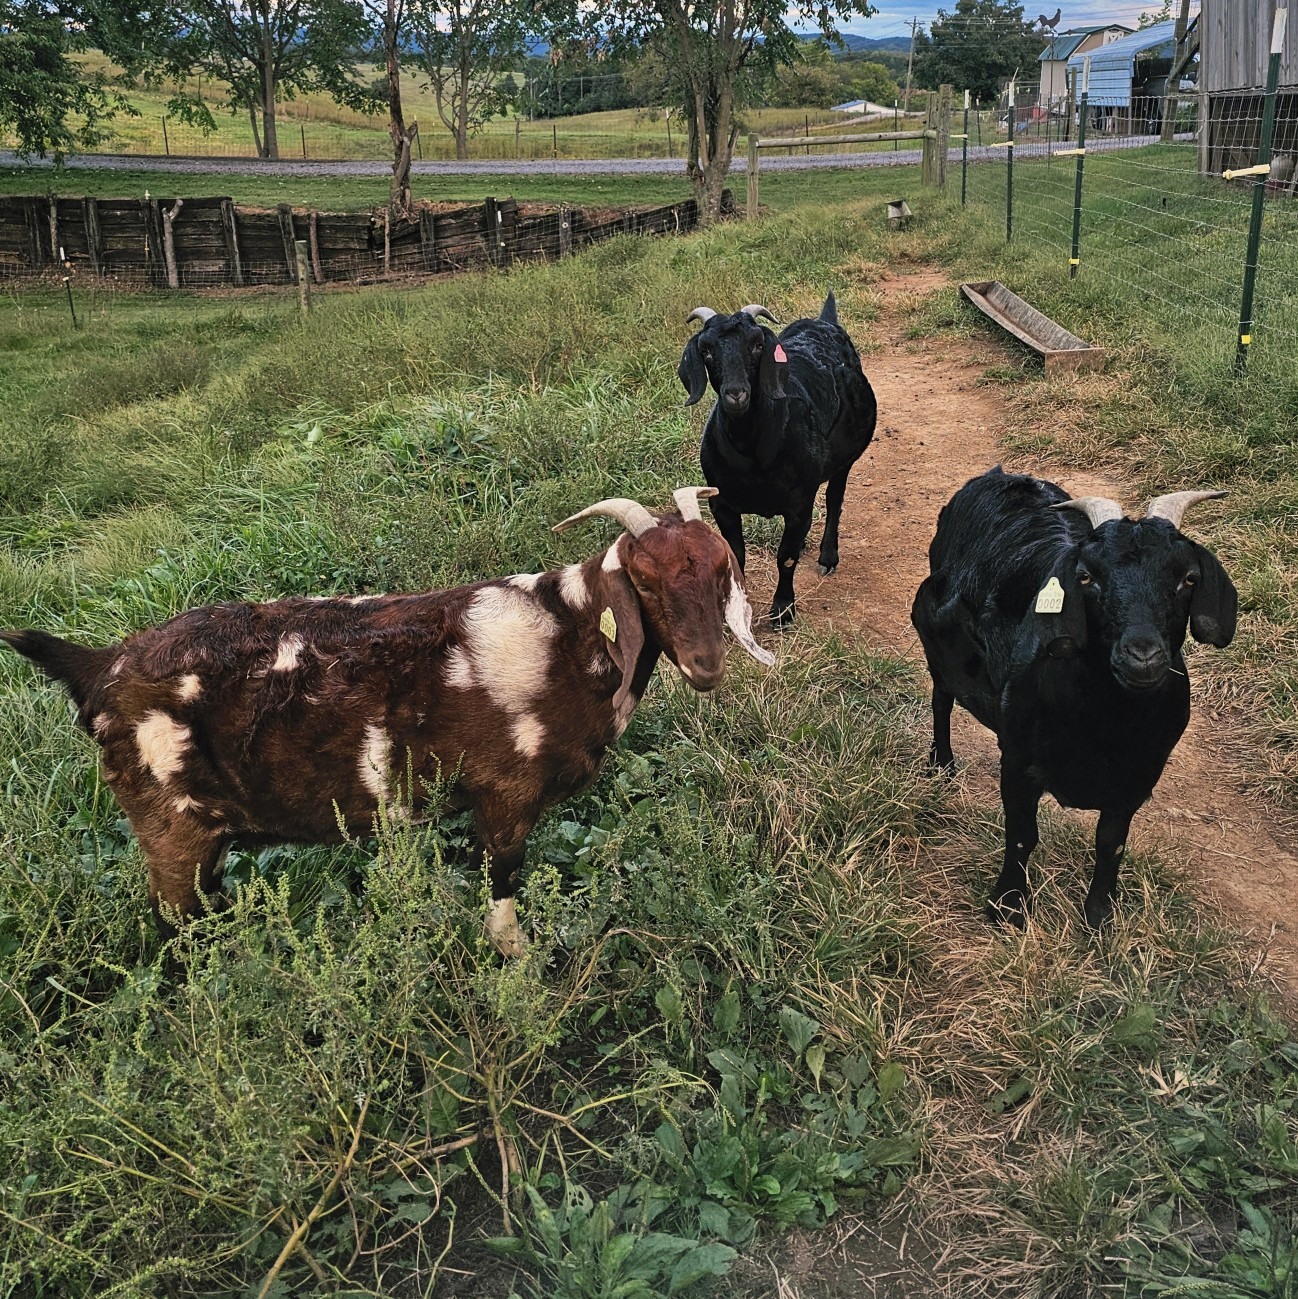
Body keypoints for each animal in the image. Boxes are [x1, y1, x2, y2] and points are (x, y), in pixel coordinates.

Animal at [1, 488, 774, 956]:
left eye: (721, 570)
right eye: (643, 580)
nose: (707, 665)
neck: (570, 634)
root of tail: (97, 666)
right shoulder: (505, 795)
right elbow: (502, 892)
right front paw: (524, 974)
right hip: (171, 830)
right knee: (178, 927)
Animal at [678, 293, 878, 627]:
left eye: (758, 344)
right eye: (705, 350)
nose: (736, 394)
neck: (752, 452)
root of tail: (823, 322)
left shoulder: (799, 506)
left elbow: (786, 556)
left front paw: (783, 609)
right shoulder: (722, 504)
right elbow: (736, 553)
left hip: (845, 460)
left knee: (834, 501)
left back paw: (828, 557)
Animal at [911, 467, 1237, 929]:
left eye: (1188, 578)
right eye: (1086, 577)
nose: (1142, 656)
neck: (1104, 722)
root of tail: (998, 475)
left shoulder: (1138, 778)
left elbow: (1110, 844)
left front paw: (1099, 917)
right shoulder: (1018, 759)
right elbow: (1022, 835)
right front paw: (1008, 907)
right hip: (940, 650)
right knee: (942, 697)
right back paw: (941, 765)